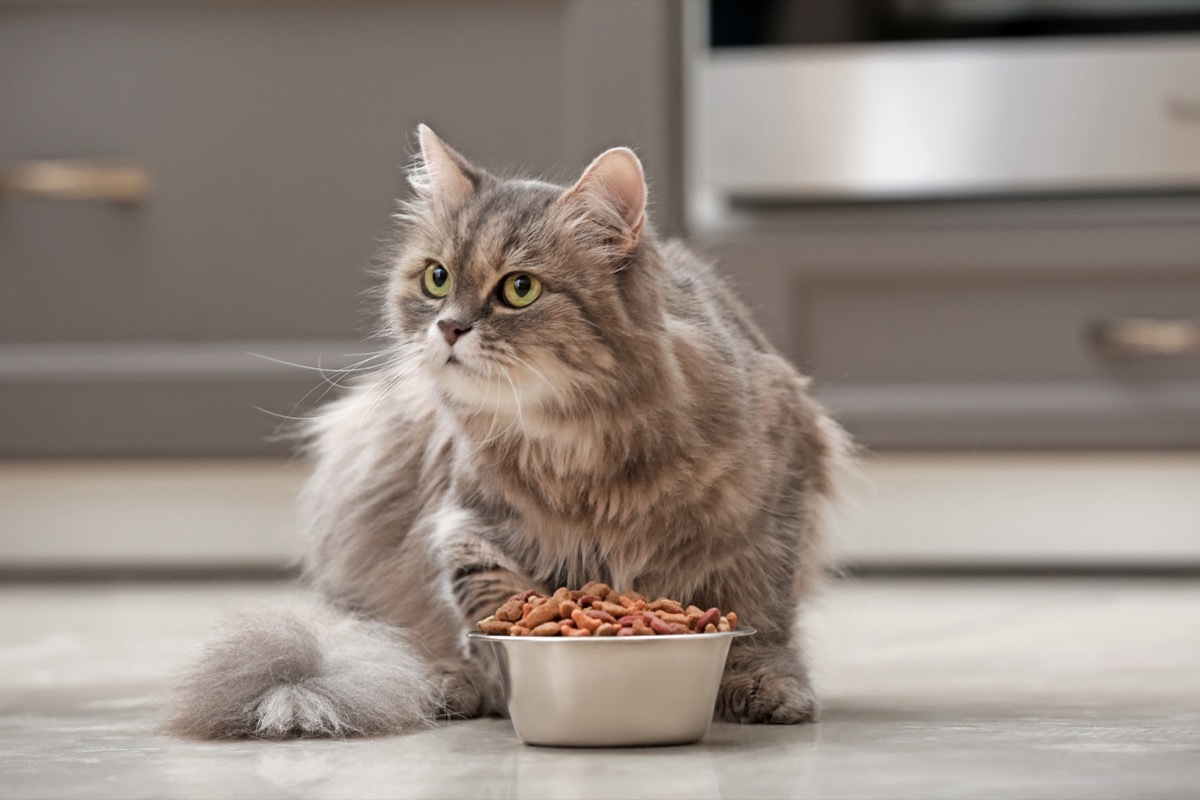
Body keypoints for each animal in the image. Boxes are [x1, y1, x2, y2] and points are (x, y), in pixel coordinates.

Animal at [169, 125, 849, 738]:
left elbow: (763, 614)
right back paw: (445, 686)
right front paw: (502, 681)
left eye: (519, 289)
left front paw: (766, 685)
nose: (448, 327)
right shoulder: (469, 528)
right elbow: (491, 611)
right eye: (437, 278)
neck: (575, 442)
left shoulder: (772, 512)